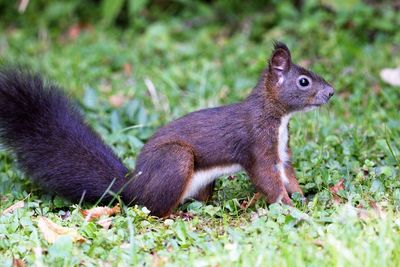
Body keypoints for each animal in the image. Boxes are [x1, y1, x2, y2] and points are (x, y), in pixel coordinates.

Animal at [0, 42, 332, 218]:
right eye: (304, 82)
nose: (331, 92)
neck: (278, 117)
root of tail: (134, 186)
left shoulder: (281, 152)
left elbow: (288, 174)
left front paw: (304, 198)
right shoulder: (257, 146)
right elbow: (268, 180)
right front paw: (289, 206)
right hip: (175, 159)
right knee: (155, 209)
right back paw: (179, 214)